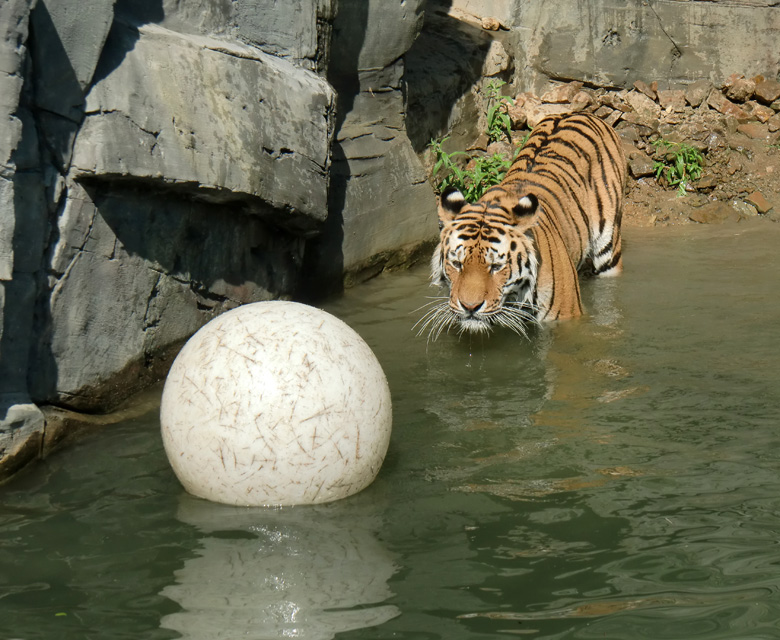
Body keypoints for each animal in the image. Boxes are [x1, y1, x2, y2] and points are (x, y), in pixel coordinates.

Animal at [420, 113, 628, 340]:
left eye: (496, 267)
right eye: (457, 264)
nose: (470, 307)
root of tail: (580, 113)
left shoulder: (567, 317)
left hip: (608, 247)